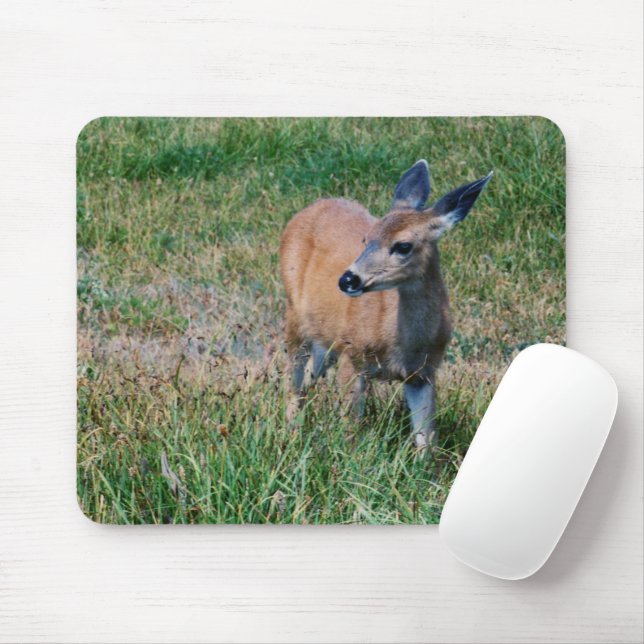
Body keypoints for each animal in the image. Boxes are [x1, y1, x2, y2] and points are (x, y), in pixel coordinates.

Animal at [279, 160, 492, 448]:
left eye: (403, 246)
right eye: (366, 239)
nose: (348, 279)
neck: (401, 344)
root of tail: (313, 206)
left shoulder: (424, 373)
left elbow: (427, 439)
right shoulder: (353, 354)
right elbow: (351, 431)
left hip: (325, 337)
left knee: (308, 377)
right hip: (294, 314)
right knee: (294, 380)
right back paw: (288, 435)